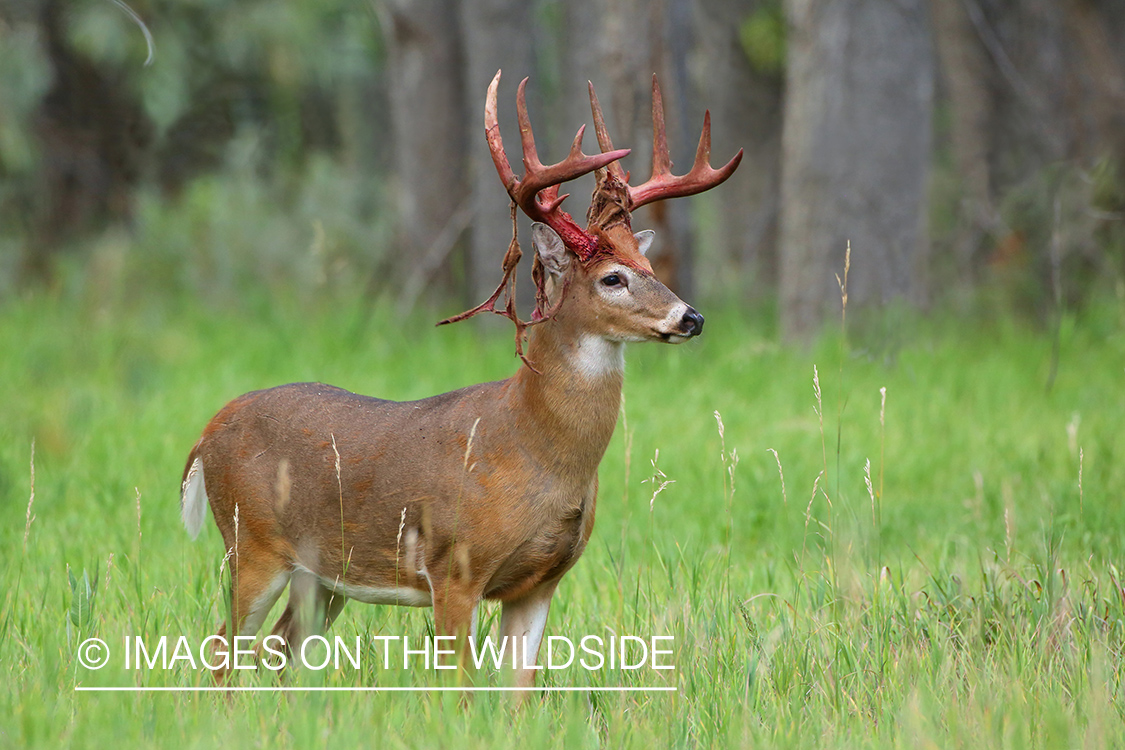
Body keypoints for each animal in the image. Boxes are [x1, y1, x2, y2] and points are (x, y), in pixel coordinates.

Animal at [180, 70, 742, 688]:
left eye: (649, 268)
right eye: (613, 278)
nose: (690, 318)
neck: (533, 447)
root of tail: (207, 432)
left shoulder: (542, 581)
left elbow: (518, 690)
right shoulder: (454, 566)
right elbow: (461, 688)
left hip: (322, 574)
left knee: (277, 654)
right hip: (252, 543)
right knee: (221, 651)